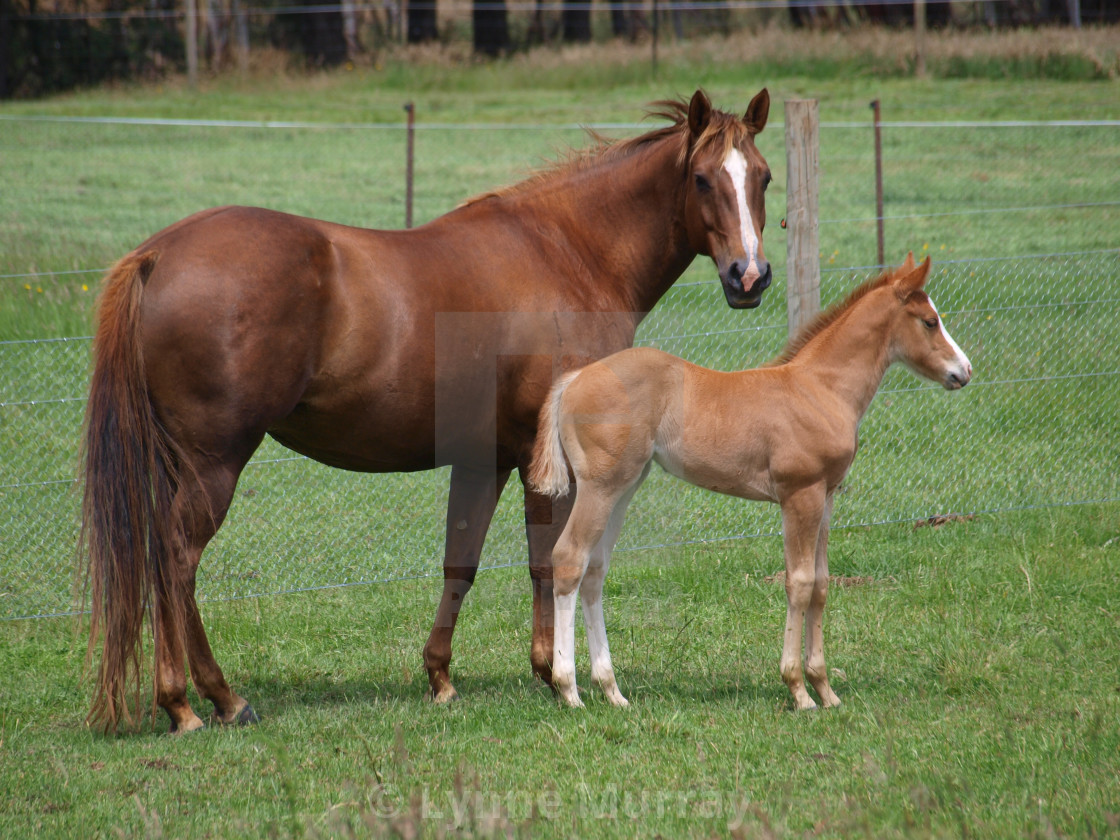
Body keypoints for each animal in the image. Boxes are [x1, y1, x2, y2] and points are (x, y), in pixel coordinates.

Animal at [530, 255, 972, 712]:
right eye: (930, 321)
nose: (964, 371)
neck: (820, 388)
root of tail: (574, 378)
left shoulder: (826, 497)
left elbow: (822, 584)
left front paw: (825, 690)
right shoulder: (800, 495)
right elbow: (799, 583)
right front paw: (799, 690)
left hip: (624, 487)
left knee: (595, 570)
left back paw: (612, 691)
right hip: (599, 488)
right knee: (569, 558)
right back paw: (569, 689)